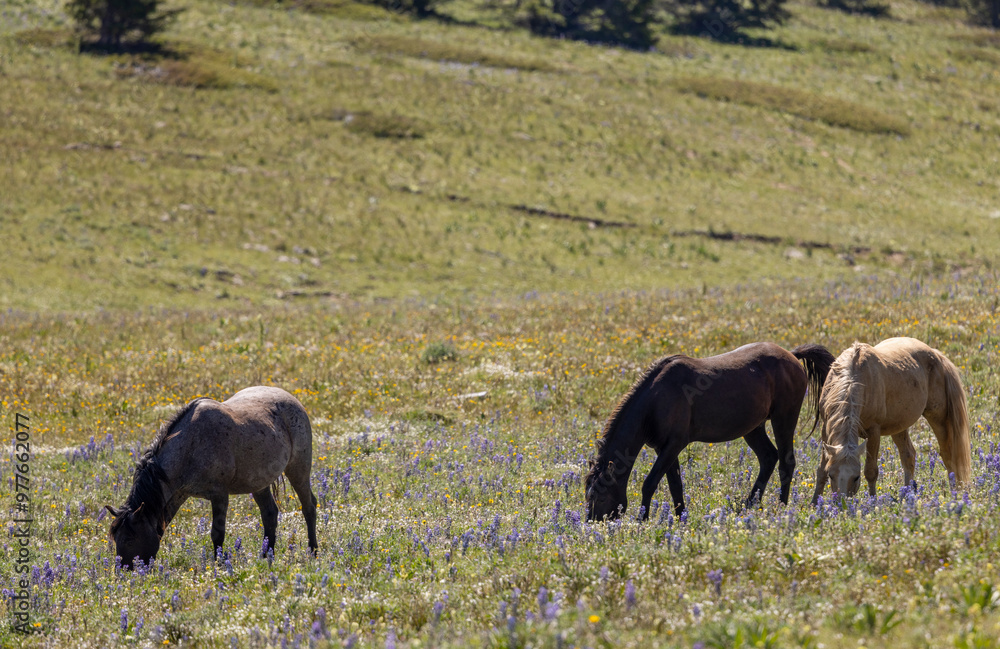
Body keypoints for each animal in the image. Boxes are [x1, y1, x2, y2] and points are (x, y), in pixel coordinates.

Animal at [106, 386, 318, 568]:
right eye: (116, 538)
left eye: (130, 539)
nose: (123, 572)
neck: (192, 443)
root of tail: (293, 400)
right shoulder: (179, 494)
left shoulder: (219, 495)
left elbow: (217, 534)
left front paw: (218, 566)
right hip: (259, 483)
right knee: (270, 514)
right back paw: (267, 556)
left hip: (298, 468)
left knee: (308, 506)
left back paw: (313, 552)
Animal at [585, 342, 835, 521]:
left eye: (599, 495)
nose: (590, 523)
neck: (656, 400)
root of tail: (792, 355)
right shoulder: (664, 449)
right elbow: (675, 485)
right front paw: (680, 517)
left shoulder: (674, 445)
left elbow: (650, 483)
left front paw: (642, 520)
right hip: (753, 427)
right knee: (768, 458)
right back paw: (751, 503)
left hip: (784, 418)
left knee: (786, 462)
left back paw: (781, 507)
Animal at [811, 337, 970, 502]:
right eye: (832, 474)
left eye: (856, 477)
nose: (841, 503)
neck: (854, 378)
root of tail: (936, 354)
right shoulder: (825, 428)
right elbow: (821, 470)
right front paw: (815, 502)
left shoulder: (873, 432)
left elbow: (871, 471)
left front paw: (873, 501)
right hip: (899, 426)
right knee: (908, 456)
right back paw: (906, 494)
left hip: (938, 418)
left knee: (948, 455)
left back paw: (954, 492)